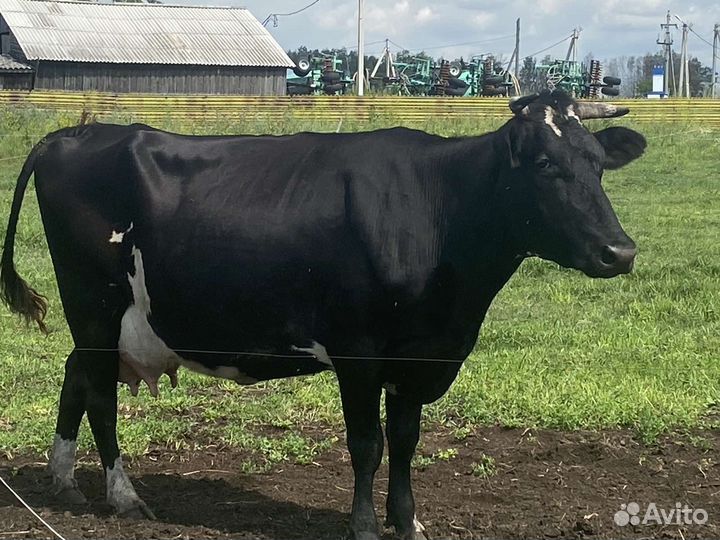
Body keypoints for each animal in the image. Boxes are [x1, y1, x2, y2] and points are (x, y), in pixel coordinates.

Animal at [1, 90, 645, 540]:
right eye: (543, 163)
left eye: (597, 163)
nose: (620, 251)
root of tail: (73, 134)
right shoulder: (358, 350)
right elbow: (367, 444)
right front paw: (363, 525)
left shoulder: (418, 356)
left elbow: (406, 441)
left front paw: (407, 521)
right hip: (94, 303)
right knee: (100, 396)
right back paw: (123, 497)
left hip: (103, 318)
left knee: (76, 374)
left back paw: (65, 482)